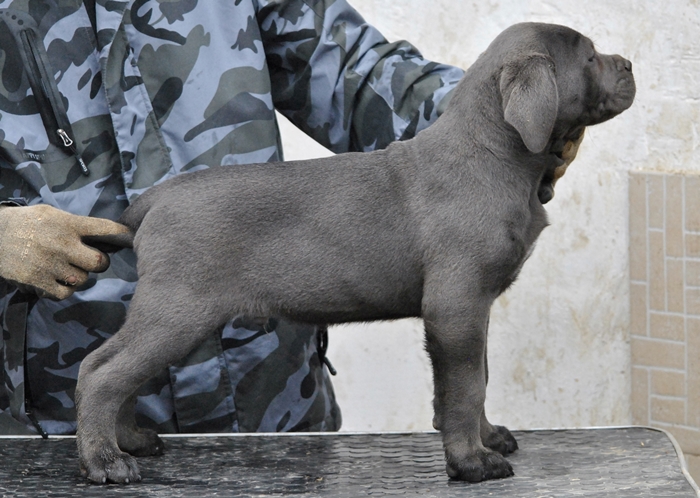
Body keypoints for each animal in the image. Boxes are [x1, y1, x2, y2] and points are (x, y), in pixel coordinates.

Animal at [75, 22, 636, 482]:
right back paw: (105, 460)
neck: (492, 153)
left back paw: (129, 440)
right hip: (178, 309)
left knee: (110, 369)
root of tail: (154, 198)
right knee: (102, 372)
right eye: (590, 57)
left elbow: (478, 375)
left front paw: (488, 437)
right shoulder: (455, 306)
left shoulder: (473, 309)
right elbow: (465, 387)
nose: (630, 64)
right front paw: (471, 461)